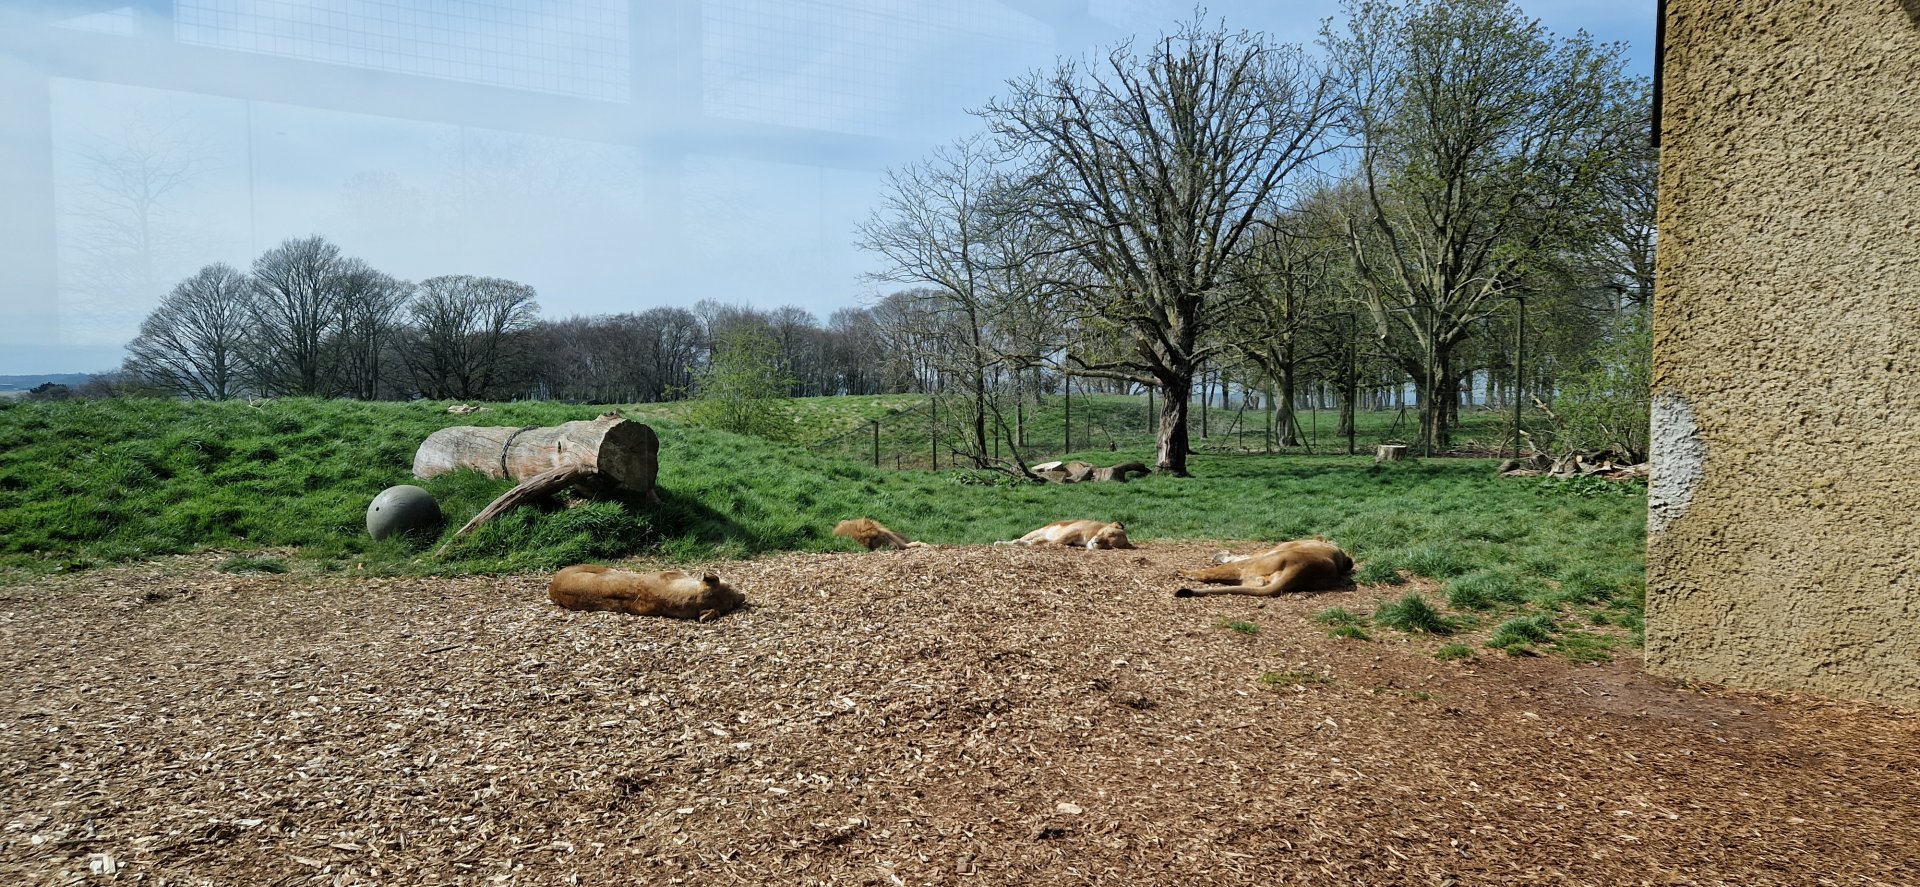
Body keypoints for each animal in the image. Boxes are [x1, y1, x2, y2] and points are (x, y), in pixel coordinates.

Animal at [1172, 538, 1354, 597]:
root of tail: (1301, 570)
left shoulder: (1262, 552)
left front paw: (1221, 555)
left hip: (1257, 562)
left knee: (1209, 574)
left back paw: (1183, 572)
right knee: (1256, 583)